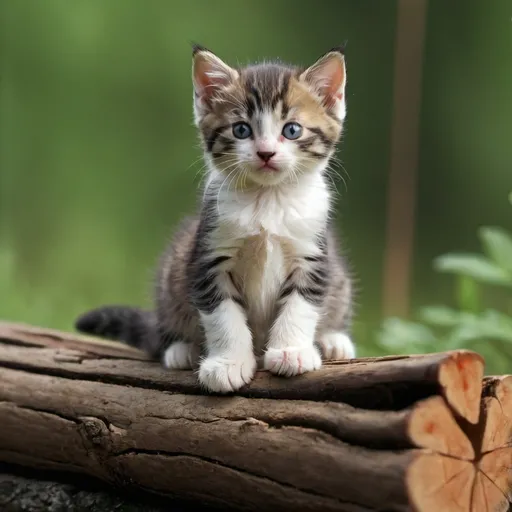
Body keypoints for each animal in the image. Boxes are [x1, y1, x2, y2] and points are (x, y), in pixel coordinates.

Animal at [76, 46, 354, 394]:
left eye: (292, 130)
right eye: (241, 129)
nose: (265, 153)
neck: (266, 199)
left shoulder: (313, 253)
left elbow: (300, 306)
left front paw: (291, 351)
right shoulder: (208, 254)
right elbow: (224, 316)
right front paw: (228, 364)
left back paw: (333, 340)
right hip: (172, 272)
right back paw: (182, 348)